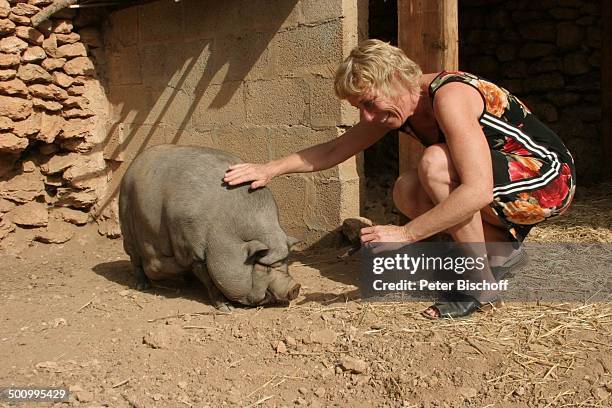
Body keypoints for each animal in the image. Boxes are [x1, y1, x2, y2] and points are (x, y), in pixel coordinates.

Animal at [118, 145, 300, 310]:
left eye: (286, 261)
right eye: (264, 266)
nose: (295, 287)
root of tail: (133, 164)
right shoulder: (193, 251)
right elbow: (209, 281)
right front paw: (227, 308)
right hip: (126, 225)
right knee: (135, 259)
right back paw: (143, 286)